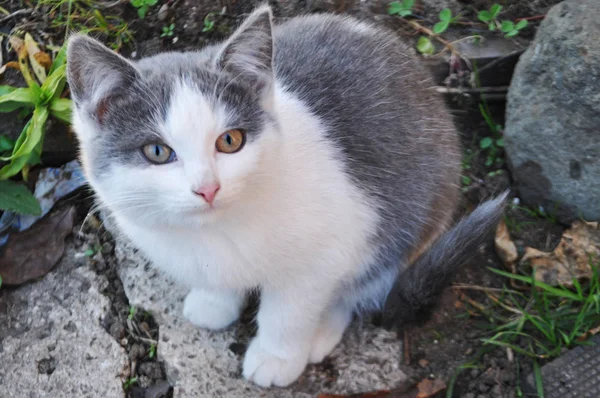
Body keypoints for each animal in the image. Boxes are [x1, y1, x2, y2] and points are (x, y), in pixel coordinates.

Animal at [65, 3, 506, 388]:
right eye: (157, 152)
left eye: (230, 141)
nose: (207, 188)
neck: (217, 231)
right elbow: (219, 280)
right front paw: (215, 302)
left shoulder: (334, 241)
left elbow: (290, 310)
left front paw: (277, 357)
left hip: (415, 213)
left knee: (366, 280)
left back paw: (324, 329)